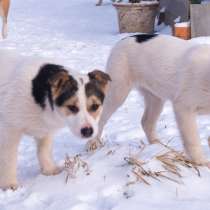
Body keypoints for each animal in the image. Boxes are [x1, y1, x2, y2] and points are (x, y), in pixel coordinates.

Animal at [0, 49, 111, 190]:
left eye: (95, 106)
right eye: (72, 107)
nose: (87, 131)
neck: (38, 93)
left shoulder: (46, 132)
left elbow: (44, 151)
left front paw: (49, 170)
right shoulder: (9, 131)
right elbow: (8, 159)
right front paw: (9, 184)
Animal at [92, 33, 210, 167]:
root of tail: (125, 38)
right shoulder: (183, 107)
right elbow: (192, 139)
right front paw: (201, 162)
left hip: (155, 98)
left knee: (146, 122)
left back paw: (158, 146)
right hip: (117, 91)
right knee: (101, 117)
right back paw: (93, 143)